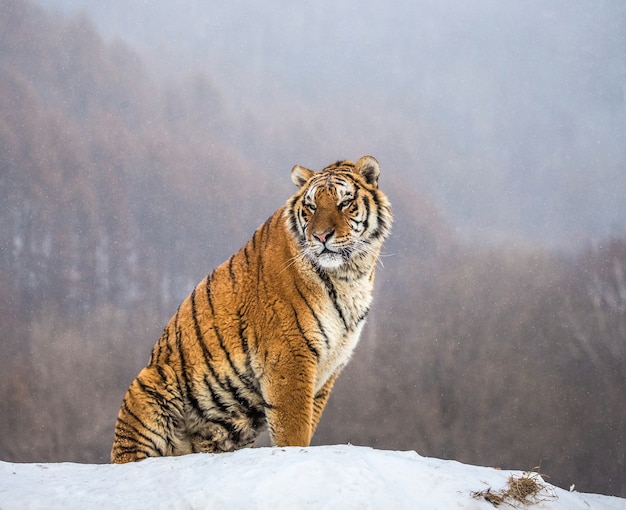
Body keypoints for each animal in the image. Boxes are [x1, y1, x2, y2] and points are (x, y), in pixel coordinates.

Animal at [108, 154, 390, 462]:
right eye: (312, 206)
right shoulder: (289, 355)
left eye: (344, 203)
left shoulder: (329, 366)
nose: (321, 236)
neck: (349, 275)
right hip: (150, 385)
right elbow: (294, 431)